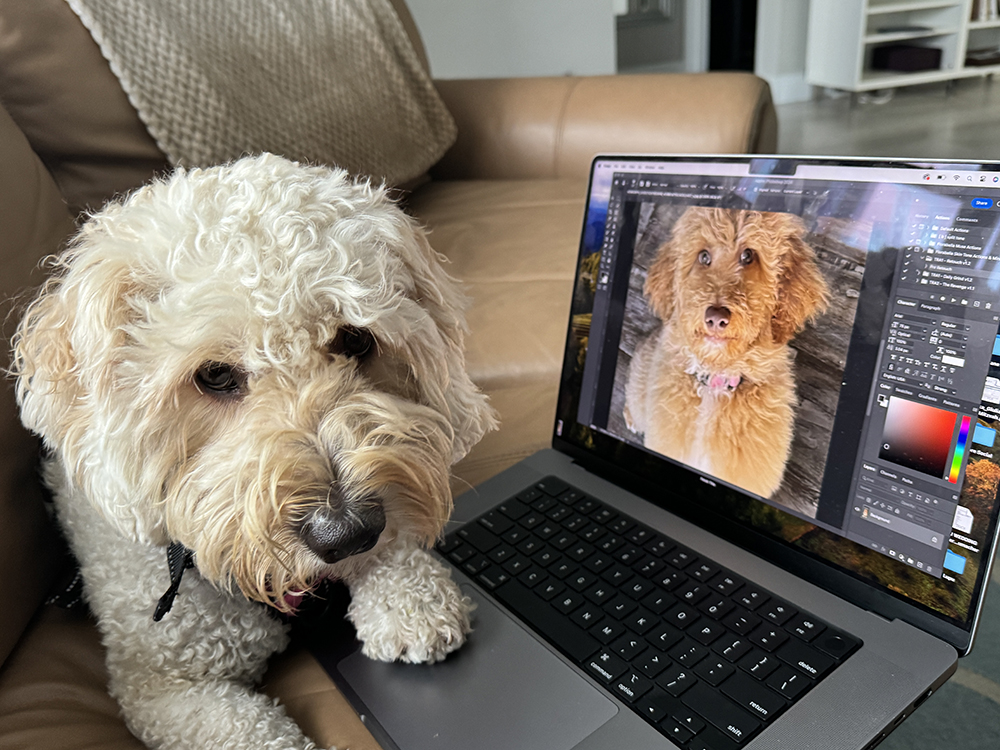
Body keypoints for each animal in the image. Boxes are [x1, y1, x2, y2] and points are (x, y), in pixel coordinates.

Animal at [13, 154, 498, 750]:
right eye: (215, 375)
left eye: (356, 340)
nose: (347, 533)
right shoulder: (160, 688)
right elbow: (248, 730)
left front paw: (410, 603)